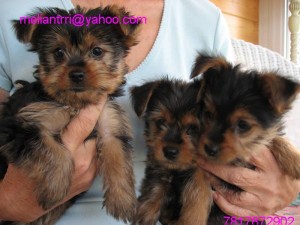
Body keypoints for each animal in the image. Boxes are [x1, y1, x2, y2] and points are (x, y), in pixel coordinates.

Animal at [0, 5, 138, 225]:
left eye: (97, 51)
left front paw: (122, 201)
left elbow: (118, 156)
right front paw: (55, 187)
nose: (77, 74)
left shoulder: (110, 122)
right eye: (58, 52)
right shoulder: (23, 124)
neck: (75, 103)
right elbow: (53, 150)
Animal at [130, 78, 212, 225]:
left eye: (192, 129)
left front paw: (192, 219)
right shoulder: (159, 169)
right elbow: (155, 189)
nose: (170, 151)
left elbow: (198, 193)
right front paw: (144, 214)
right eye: (161, 122)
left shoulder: (202, 172)